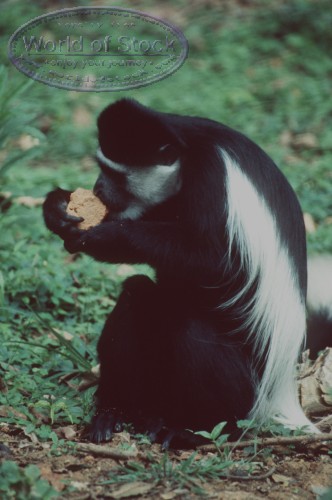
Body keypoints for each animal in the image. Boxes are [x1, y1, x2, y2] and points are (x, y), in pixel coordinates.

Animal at [43, 98, 316, 446]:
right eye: (101, 168)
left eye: (115, 174)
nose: (98, 188)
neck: (187, 155)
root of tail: (280, 394)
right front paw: (57, 208)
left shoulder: (213, 180)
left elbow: (217, 263)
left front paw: (110, 235)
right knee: (136, 295)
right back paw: (116, 414)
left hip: (246, 394)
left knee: (193, 332)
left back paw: (191, 431)